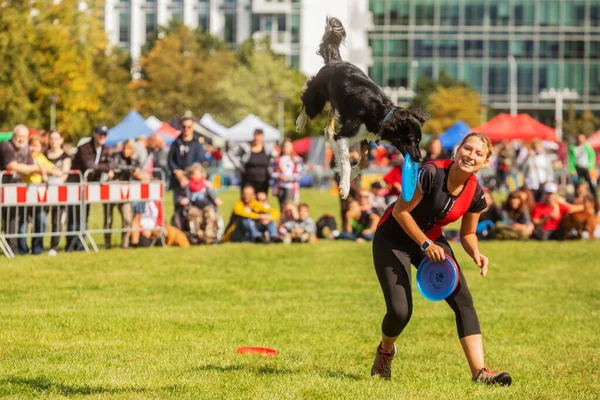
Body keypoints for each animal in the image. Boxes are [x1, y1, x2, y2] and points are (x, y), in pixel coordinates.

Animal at [296, 17, 428, 198]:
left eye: (420, 141)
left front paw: (351, 174)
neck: (382, 115)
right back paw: (300, 121)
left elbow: (364, 161)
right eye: (412, 140)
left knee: (330, 115)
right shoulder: (345, 136)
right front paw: (345, 185)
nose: (420, 159)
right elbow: (345, 160)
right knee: (305, 101)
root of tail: (336, 61)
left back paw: (328, 131)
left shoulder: (365, 137)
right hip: (315, 102)